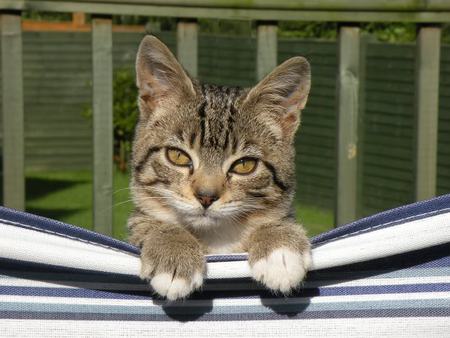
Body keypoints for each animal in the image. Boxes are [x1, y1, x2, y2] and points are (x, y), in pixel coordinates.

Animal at [128, 35, 312, 300]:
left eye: (245, 165)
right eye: (177, 156)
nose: (206, 196)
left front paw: (279, 245)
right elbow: (145, 221)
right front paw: (174, 251)